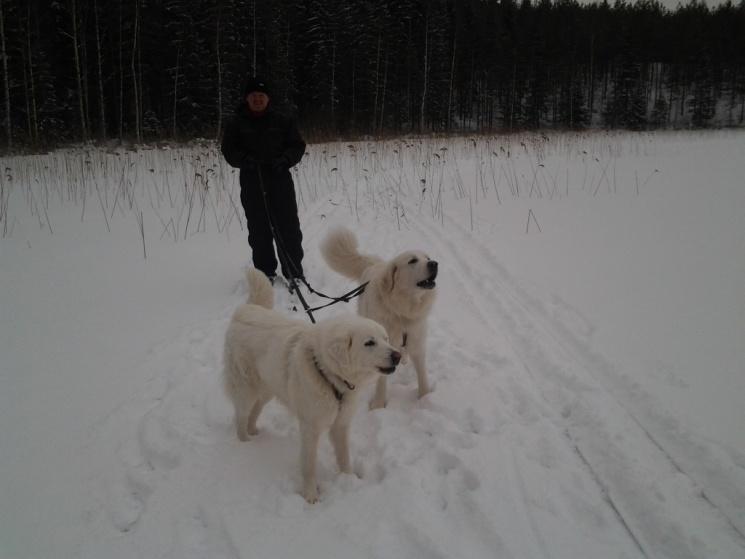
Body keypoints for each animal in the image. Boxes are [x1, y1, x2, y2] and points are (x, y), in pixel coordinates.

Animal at [222, 270, 402, 506]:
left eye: (386, 338)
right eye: (369, 343)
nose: (398, 355)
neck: (329, 376)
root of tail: (246, 310)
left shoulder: (341, 424)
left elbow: (344, 456)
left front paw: (349, 478)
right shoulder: (310, 427)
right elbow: (309, 464)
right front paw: (310, 496)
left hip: (268, 387)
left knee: (255, 410)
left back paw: (254, 432)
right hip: (245, 388)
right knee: (240, 416)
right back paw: (245, 444)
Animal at [320, 229, 436, 412]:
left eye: (427, 257)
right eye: (412, 260)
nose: (434, 264)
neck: (402, 311)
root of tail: (373, 263)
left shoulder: (417, 343)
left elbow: (422, 374)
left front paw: (425, 398)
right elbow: (381, 379)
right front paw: (379, 405)